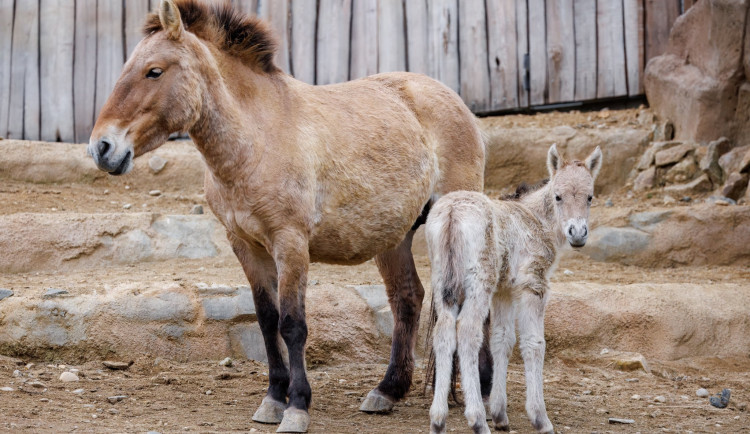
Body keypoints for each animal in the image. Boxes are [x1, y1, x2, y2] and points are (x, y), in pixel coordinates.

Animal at [428, 144, 604, 432]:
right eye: (558, 197)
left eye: (590, 197)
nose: (577, 234)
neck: (535, 219)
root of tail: (453, 212)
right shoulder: (532, 284)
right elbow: (534, 343)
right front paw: (540, 418)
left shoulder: (504, 291)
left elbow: (502, 339)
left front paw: (500, 414)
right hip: (479, 283)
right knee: (467, 332)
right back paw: (477, 419)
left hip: (443, 281)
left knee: (442, 332)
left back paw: (438, 419)